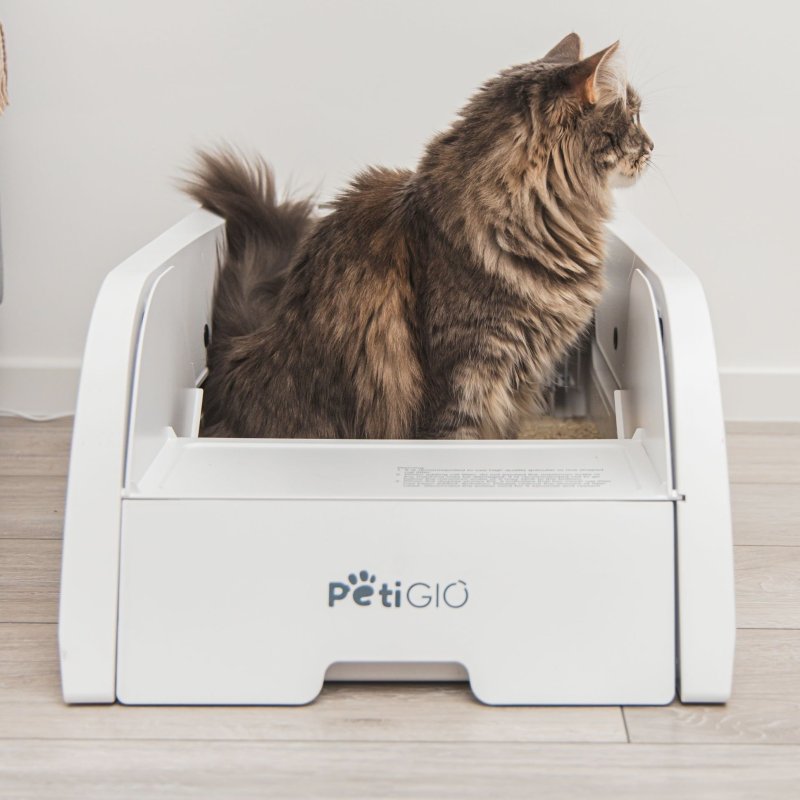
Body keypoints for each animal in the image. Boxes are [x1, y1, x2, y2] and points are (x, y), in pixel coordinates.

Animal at [184, 33, 653, 439]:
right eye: (633, 116)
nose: (651, 147)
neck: (532, 219)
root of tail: (239, 352)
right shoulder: (464, 378)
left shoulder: (518, 379)